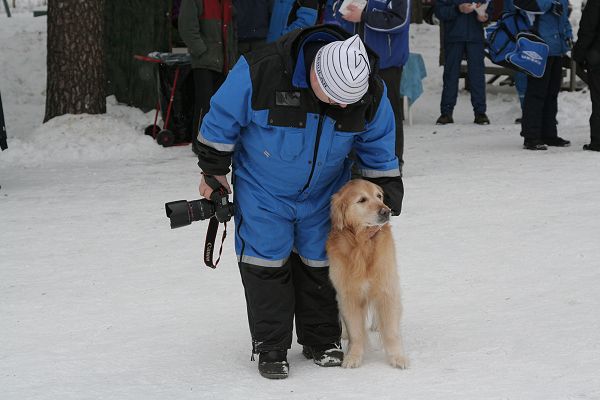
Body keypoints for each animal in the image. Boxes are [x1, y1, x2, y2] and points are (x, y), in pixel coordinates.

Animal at [328, 180, 408, 368]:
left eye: (379, 196)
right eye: (362, 200)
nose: (386, 211)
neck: (362, 244)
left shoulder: (387, 288)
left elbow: (391, 331)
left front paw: (397, 357)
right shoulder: (348, 295)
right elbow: (356, 332)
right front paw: (353, 356)